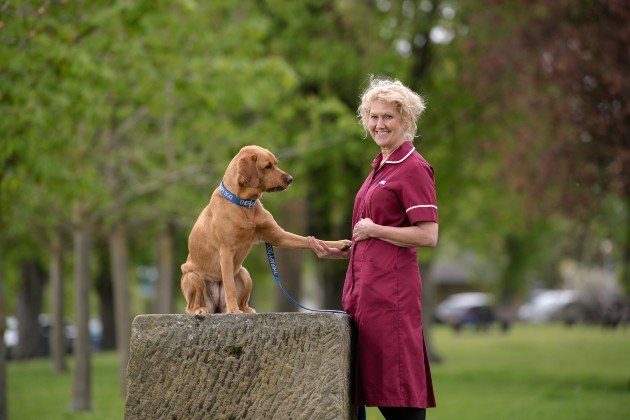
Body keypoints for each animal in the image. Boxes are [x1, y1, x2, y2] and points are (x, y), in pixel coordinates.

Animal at [180, 146, 354, 314]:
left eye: (276, 164)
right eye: (268, 166)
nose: (290, 179)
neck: (245, 204)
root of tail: (216, 308)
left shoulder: (278, 236)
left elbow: (311, 240)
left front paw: (341, 243)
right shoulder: (226, 251)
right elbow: (229, 286)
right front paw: (233, 310)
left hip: (245, 275)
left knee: (242, 296)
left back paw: (246, 309)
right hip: (194, 277)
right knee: (191, 304)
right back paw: (201, 309)